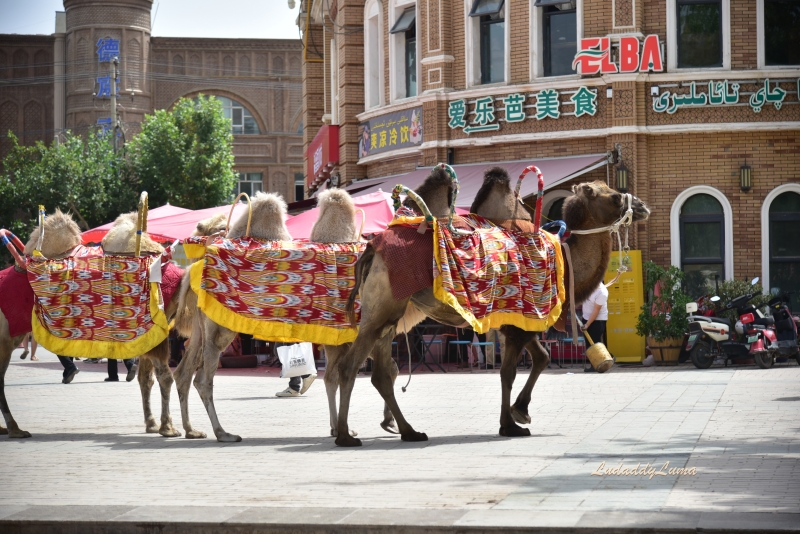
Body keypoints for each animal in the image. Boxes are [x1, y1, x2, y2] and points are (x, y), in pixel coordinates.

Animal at [334, 169, 652, 448]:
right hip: (381, 311)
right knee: (349, 367)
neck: (565, 258)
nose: (642, 205)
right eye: (613, 196)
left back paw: (409, 431)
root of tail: (372, 249)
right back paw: (346, 436)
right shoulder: (525, 316)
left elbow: (542, 357)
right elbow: (508, 372)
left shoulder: (520, 321)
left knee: (381, 374)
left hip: (388, 317)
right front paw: (510, 424)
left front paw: (520, 411)